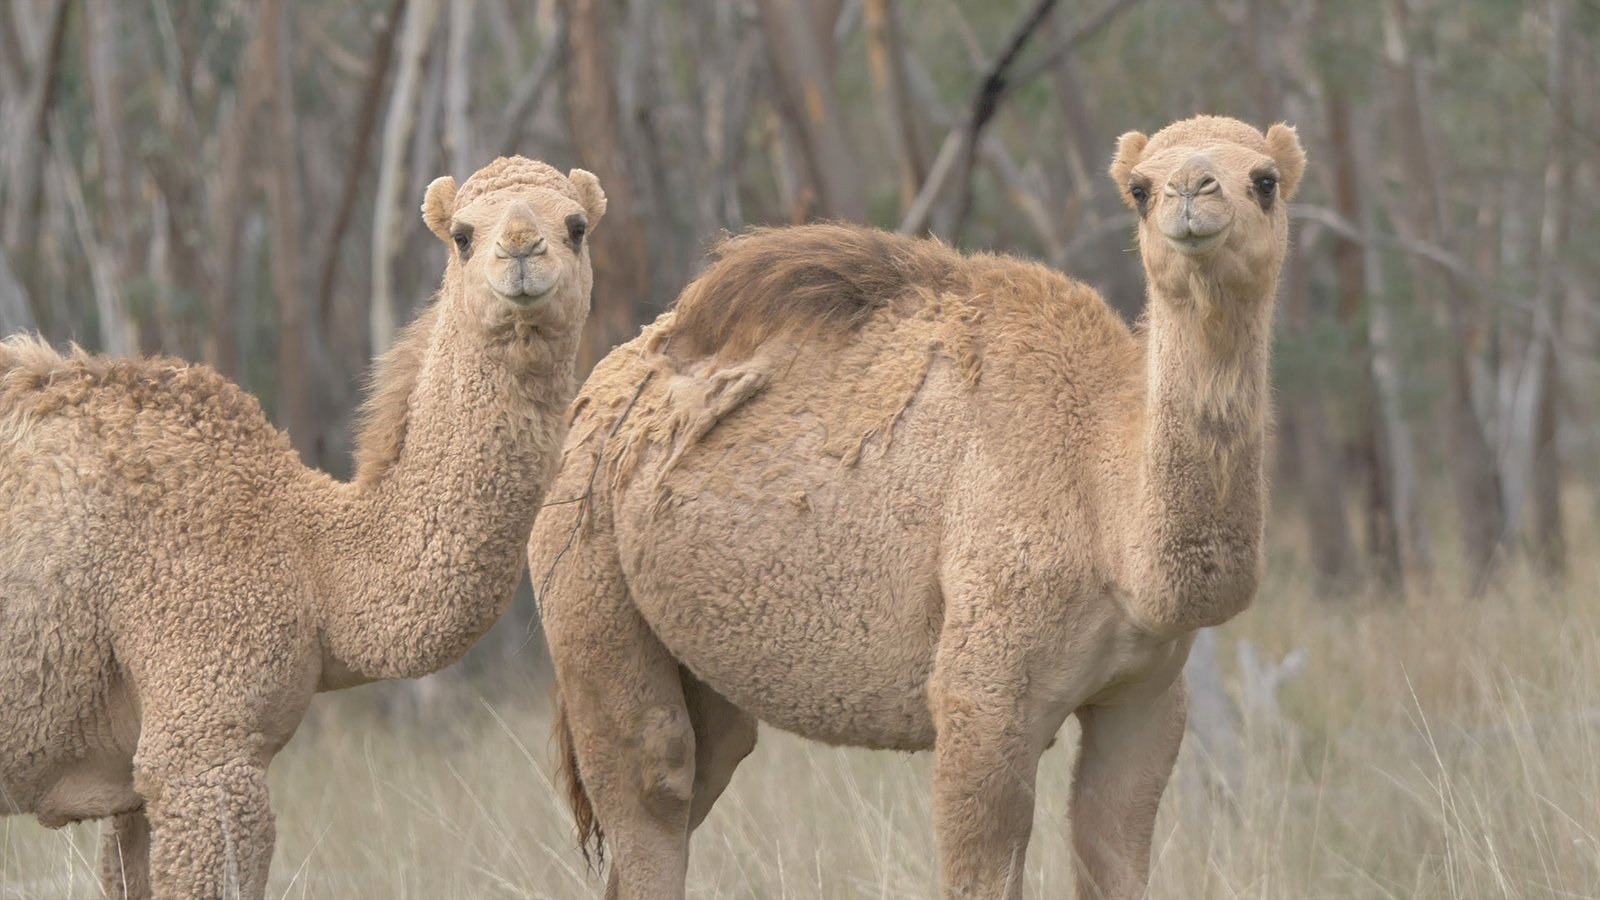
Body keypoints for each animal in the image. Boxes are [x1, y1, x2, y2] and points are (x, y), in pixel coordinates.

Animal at [0, 156, 604, 899]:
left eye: (575, 226)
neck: (311, 552)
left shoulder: (138, 784)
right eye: (462, 235)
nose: (520, 248)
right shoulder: (204, 744)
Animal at [529, 115, 1305, 899]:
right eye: (1140, 189)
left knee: (701, 769)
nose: (1191, 191)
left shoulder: (1145, 701)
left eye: (1265, 180)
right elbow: (982, 865)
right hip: (583, 575)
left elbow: (1112, 853)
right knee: (653, 776)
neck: (1104, 503)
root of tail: (594, 395)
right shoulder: (981, 700)